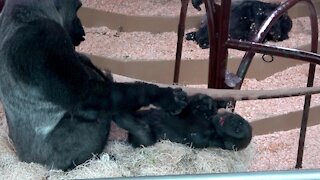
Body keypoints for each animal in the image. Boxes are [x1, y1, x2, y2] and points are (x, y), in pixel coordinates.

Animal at [114, 94, 251, 150]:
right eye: (239, 122)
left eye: (237, 130)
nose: (232, 122)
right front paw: (207, 101)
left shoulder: (205, 140)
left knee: (141, 130)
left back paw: (120, 116)